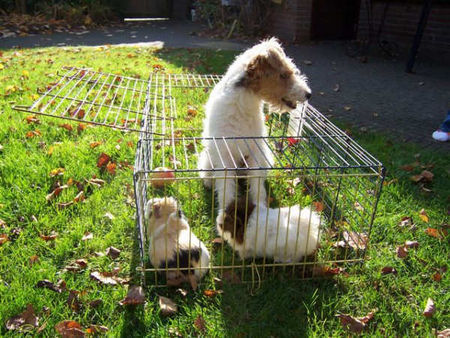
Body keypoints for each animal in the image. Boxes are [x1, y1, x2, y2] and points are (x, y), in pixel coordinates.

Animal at [199, 37, 312, 211]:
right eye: (283, 75)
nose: (308, 94)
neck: (243, 105)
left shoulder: (255, 151)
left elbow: (257, 187)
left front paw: (260, 209)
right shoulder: (224, 154)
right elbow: (226, 188)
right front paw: (225, 211)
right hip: (209, 157)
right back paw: (208, 182)